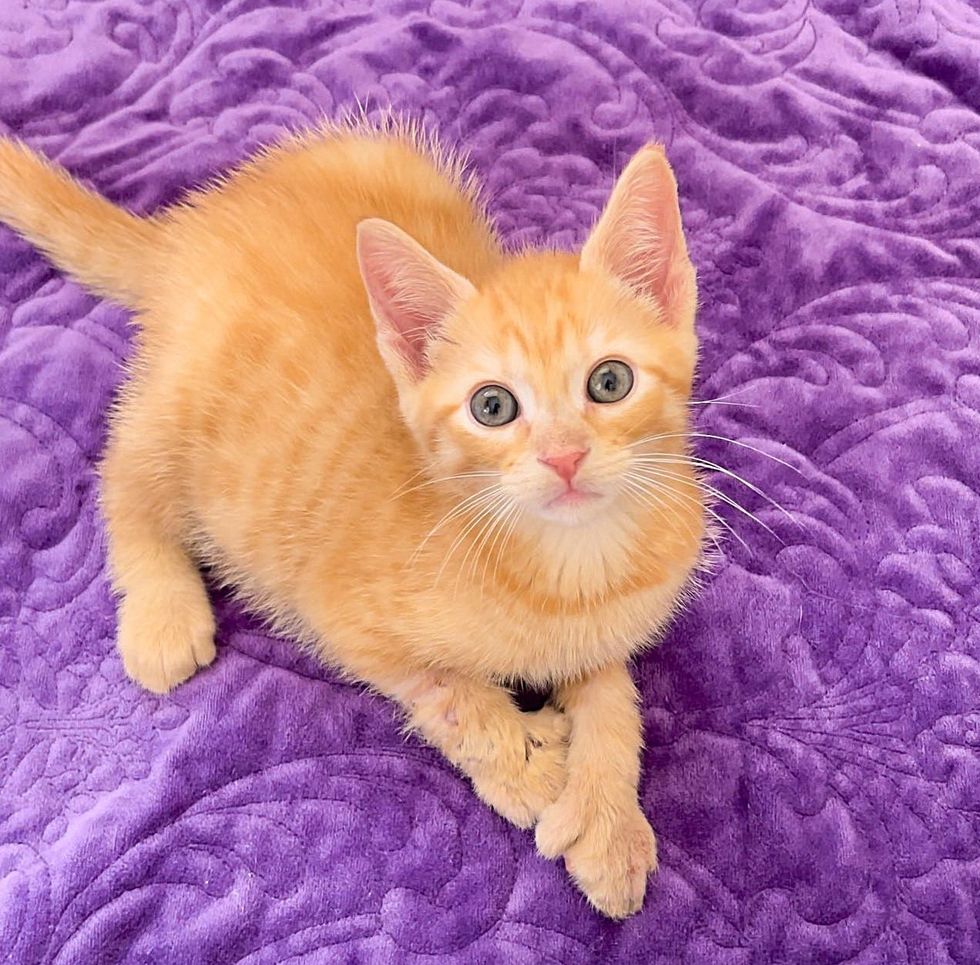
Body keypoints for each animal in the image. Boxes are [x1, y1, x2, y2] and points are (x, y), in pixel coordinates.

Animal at [0, 116, 704, 916]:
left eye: (609, 382)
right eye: (493, 406)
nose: (563, 457)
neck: (571, 562)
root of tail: (186, 232)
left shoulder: (609, 624)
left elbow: (616, 697)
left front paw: (610, 821)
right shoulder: (341, 616)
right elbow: (442, 688)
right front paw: (523, 765)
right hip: (181, 414)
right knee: (120, 472)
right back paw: (161, 612)